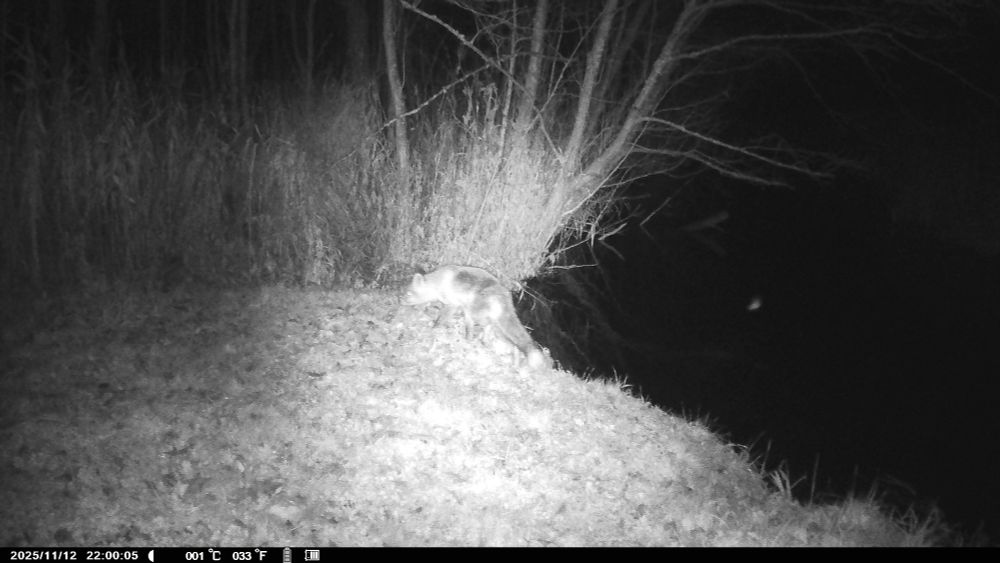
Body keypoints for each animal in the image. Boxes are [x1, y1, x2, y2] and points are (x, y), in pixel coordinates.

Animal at [404, 265, 549, 369]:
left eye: (409, 294)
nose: (401, 301)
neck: (440, 282)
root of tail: (503, 296)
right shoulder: (456, 306)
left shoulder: (452, 304)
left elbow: (440, 319)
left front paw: (434, 328)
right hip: (490, 322)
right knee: (510, 343)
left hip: (475, 313)